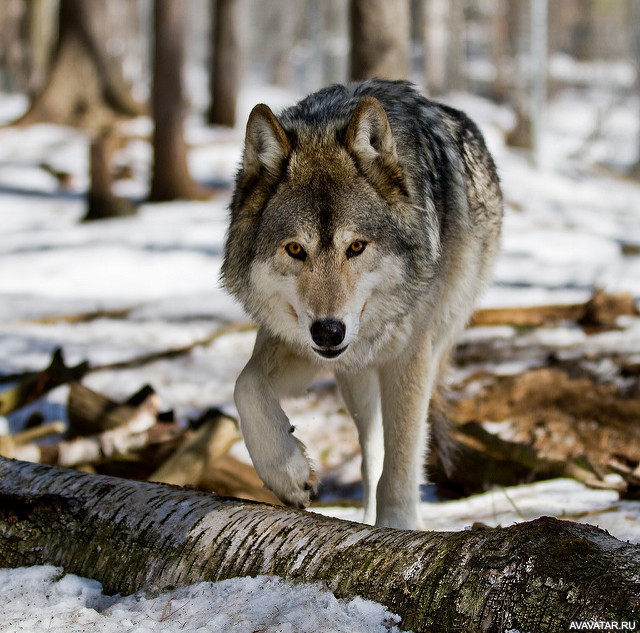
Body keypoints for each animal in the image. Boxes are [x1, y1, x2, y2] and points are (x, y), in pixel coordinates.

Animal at [222, 78, 502, 528]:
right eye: (295, 249)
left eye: (356, 246)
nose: (329, 331)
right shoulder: (302, 342)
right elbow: (245, 385)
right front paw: (288, 473)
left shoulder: (410, 356)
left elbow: (402, 465)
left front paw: (398, 530)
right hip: (355, 381)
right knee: (371, 457)